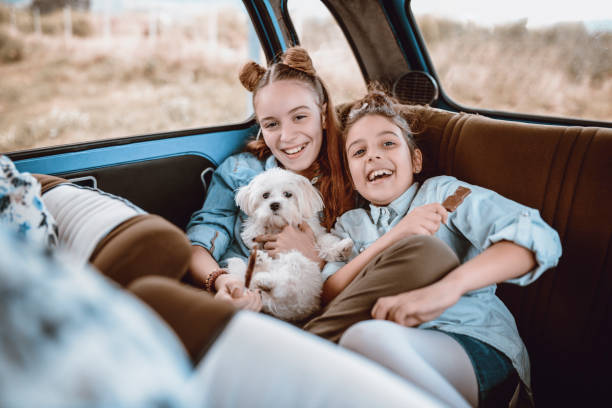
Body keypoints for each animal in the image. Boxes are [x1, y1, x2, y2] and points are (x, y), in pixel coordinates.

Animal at [227, 168, 354, 322]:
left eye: (288, 194)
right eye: (265, 195)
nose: (274, 204)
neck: (279, 225)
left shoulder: (314, 232)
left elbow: (326, 242)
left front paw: (342, 248)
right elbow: (252, 231)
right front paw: (258, 227)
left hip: (299, 267)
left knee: (282, 285)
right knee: (278, 285)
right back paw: (261, 269)